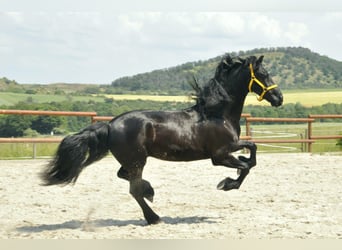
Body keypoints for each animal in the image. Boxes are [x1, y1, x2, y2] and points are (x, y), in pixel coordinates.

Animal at [40, 54, 284, 225]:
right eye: (263, 74)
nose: (279, 98)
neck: (217, 114)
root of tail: (110, 124)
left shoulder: (230, 149)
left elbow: (251, 154)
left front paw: (234, 174)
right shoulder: (220, 155)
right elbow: (248, 164)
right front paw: (227, 184)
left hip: (133, 160)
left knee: (126, 177)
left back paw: (150, 191)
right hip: (137, 160)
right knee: (134, 189)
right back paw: (154, 217)